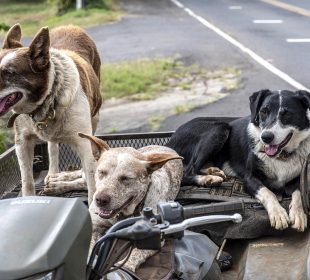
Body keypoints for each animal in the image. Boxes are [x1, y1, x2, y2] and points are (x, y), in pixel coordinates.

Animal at [0, 24, 102, 203]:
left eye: (9, 73)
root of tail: (70, 26)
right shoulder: (22, 141)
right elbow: (27, 181)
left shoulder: (84, 143)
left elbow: (92, 184)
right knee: (52, 146)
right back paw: (53, 175)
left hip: (95, 116)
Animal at [44, 135, 183, 272]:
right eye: (101, 172)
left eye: (126, 178)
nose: (100, 200)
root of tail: (164, 147)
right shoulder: (94, 225)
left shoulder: (155, 237)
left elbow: (135, 254)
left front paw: (125, 268)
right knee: (81, 176)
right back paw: (57, 181)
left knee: (82, 182)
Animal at [167, 89, 310, 232]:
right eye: (263, 111)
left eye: (287, 113)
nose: (265, 137)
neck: (281, 156)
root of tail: (170, 141)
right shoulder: (249, 178)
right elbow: (268, 192)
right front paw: (278, 214)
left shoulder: (298, 178)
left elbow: (299, 193)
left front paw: (299, 214)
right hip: (219, 129)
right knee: (186, 172)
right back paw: (208, 179)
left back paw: (213, 171)